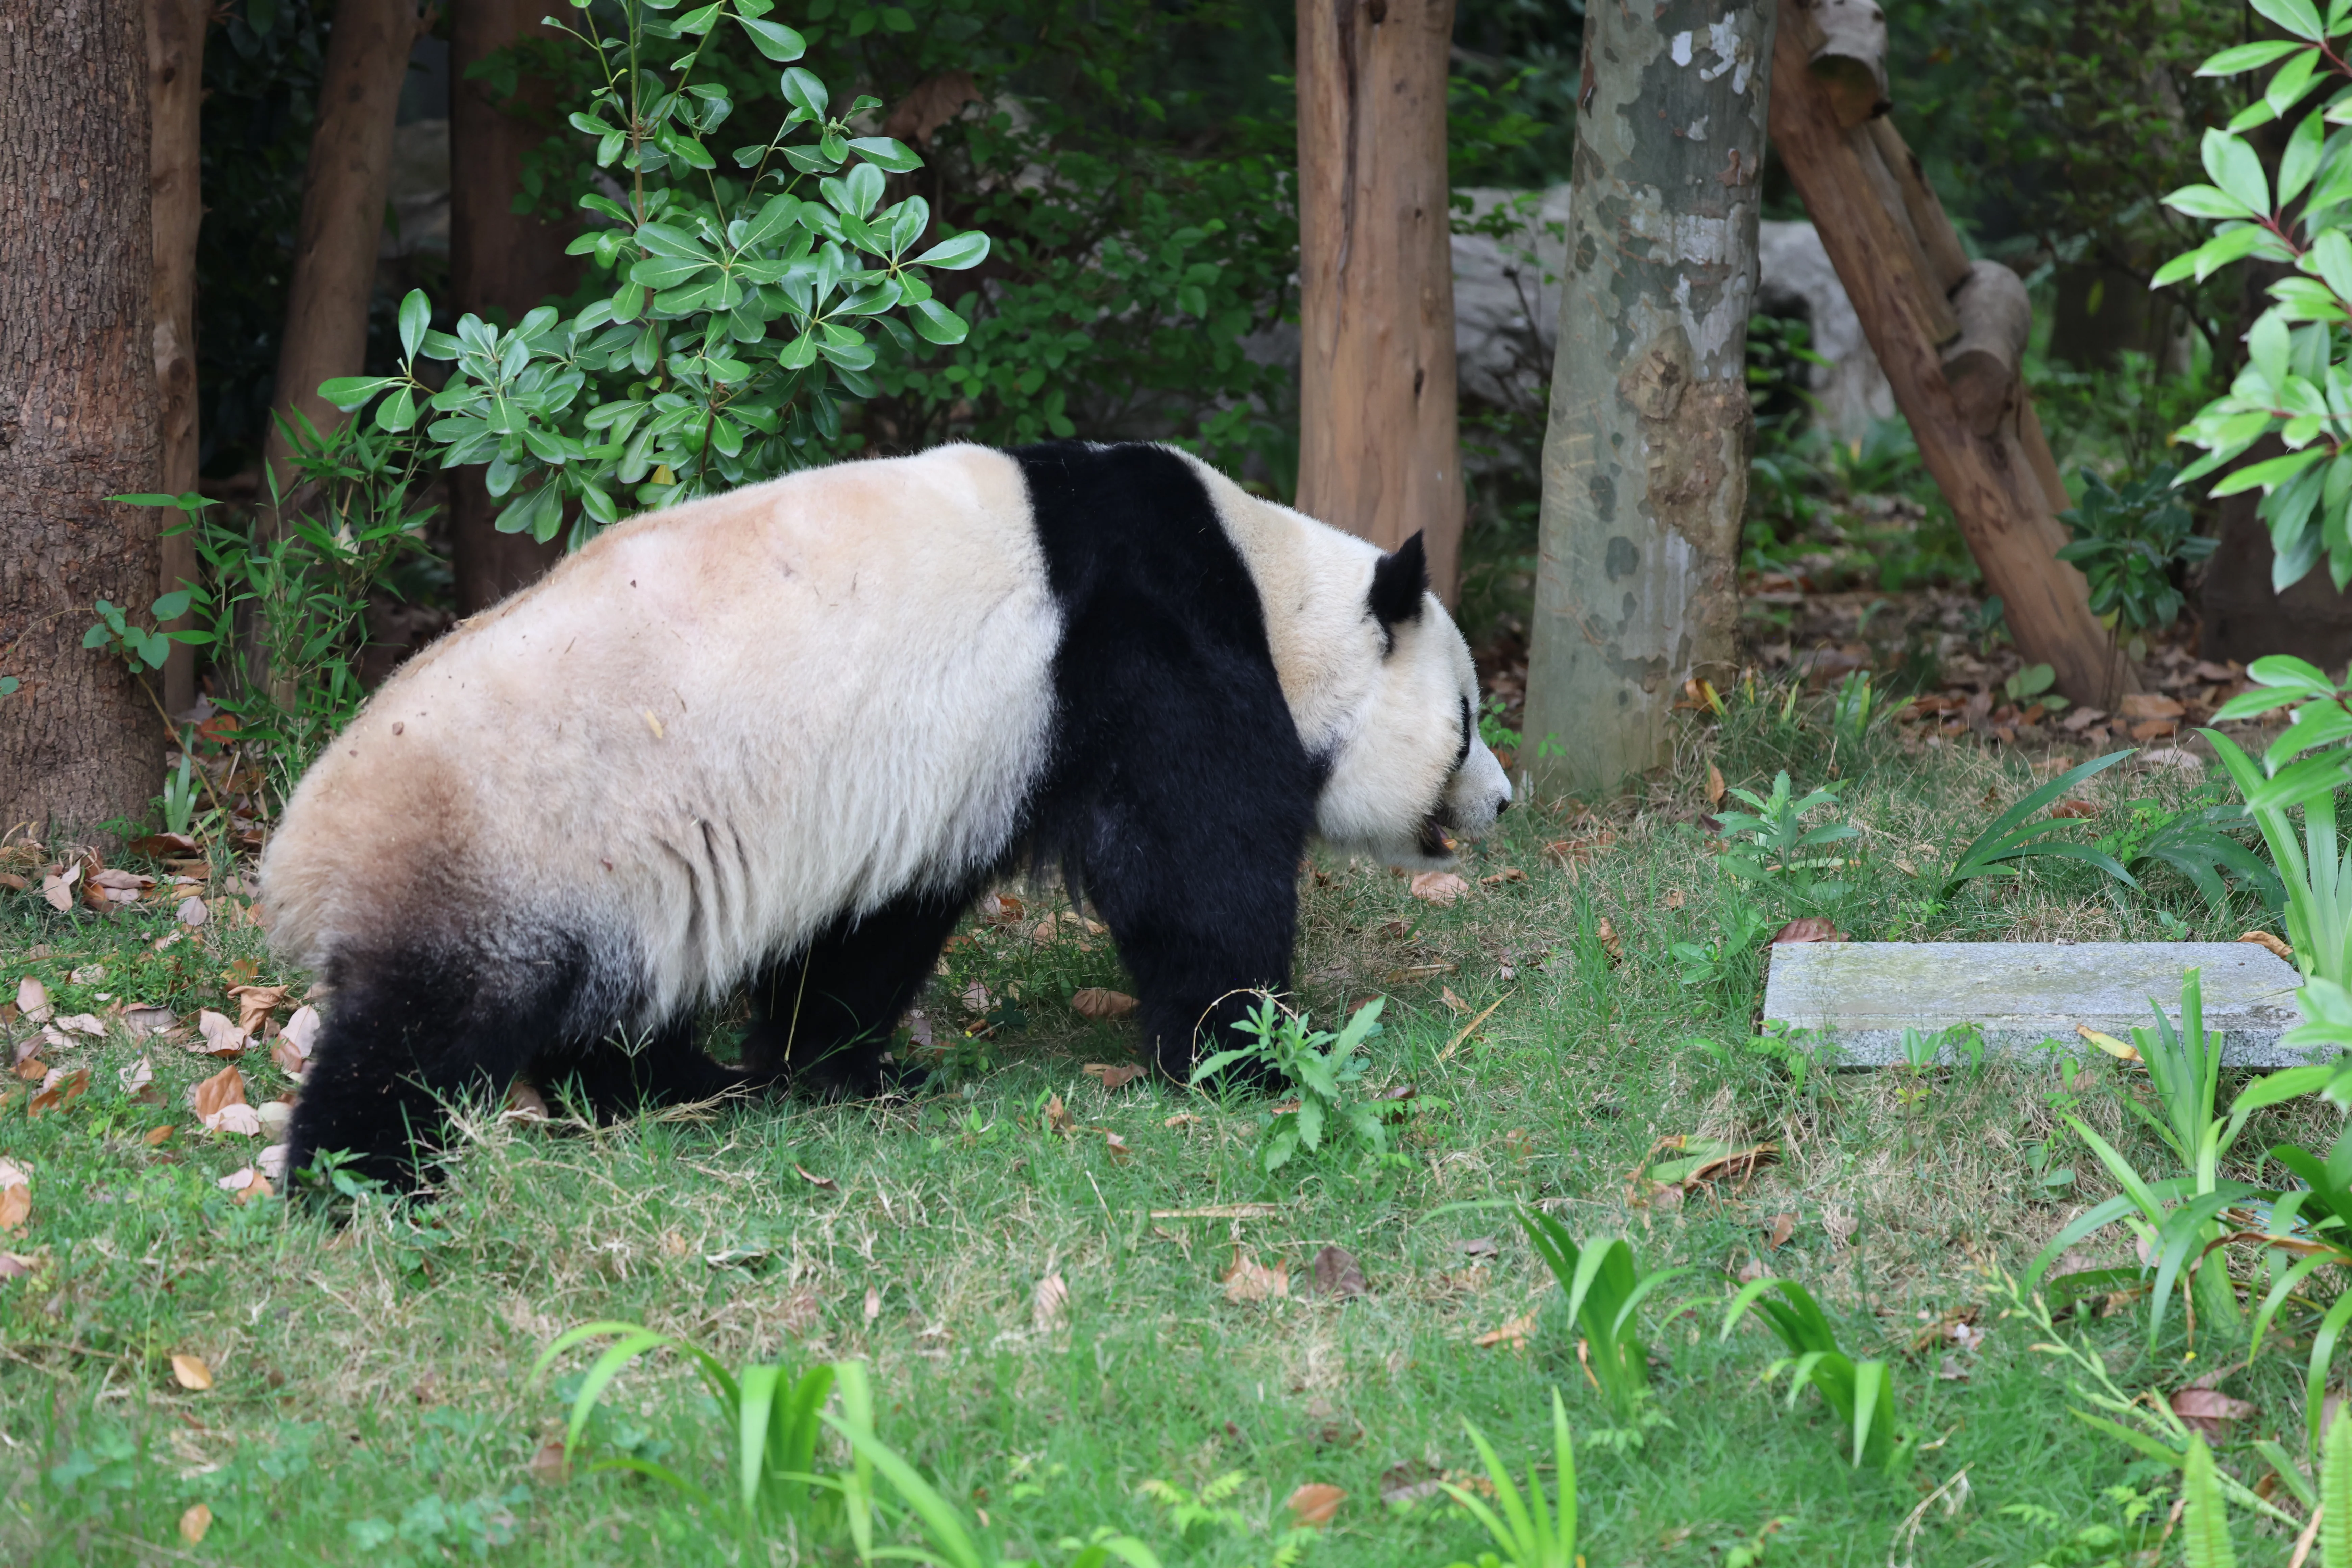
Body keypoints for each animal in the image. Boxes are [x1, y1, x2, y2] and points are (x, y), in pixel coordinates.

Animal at [263, 440, 1513, 1188]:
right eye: (1466, 718)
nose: (1504, 799)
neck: (1273, 589)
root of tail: (300, 849)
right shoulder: (1145, 655)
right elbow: (1197, 874)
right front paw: (1248, 1056)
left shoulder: (953, 774)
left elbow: (877, 931)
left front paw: (837, 1071)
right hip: (510, 845)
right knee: (424, 1030)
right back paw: (362, 1184)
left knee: (604, 1009)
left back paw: (682, 1092)